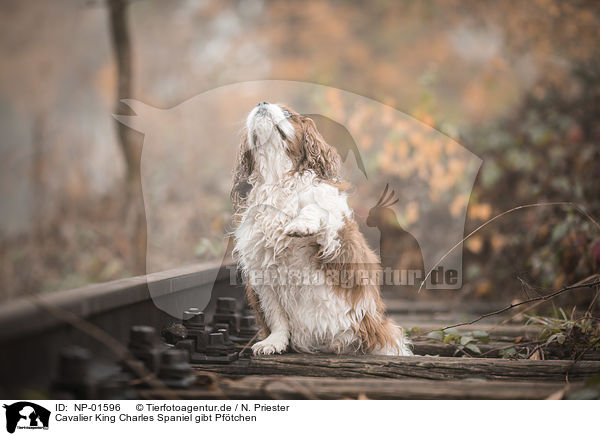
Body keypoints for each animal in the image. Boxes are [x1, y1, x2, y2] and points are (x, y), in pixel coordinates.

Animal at [231, 103, 412, 358]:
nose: (261, 103)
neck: (277, 180)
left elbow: (317, 209)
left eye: (288, 114)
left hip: (382, 333)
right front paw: (274, 342)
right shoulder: (262, 274)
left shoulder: (336, 239)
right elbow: (277, 316)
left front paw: (301, 224)